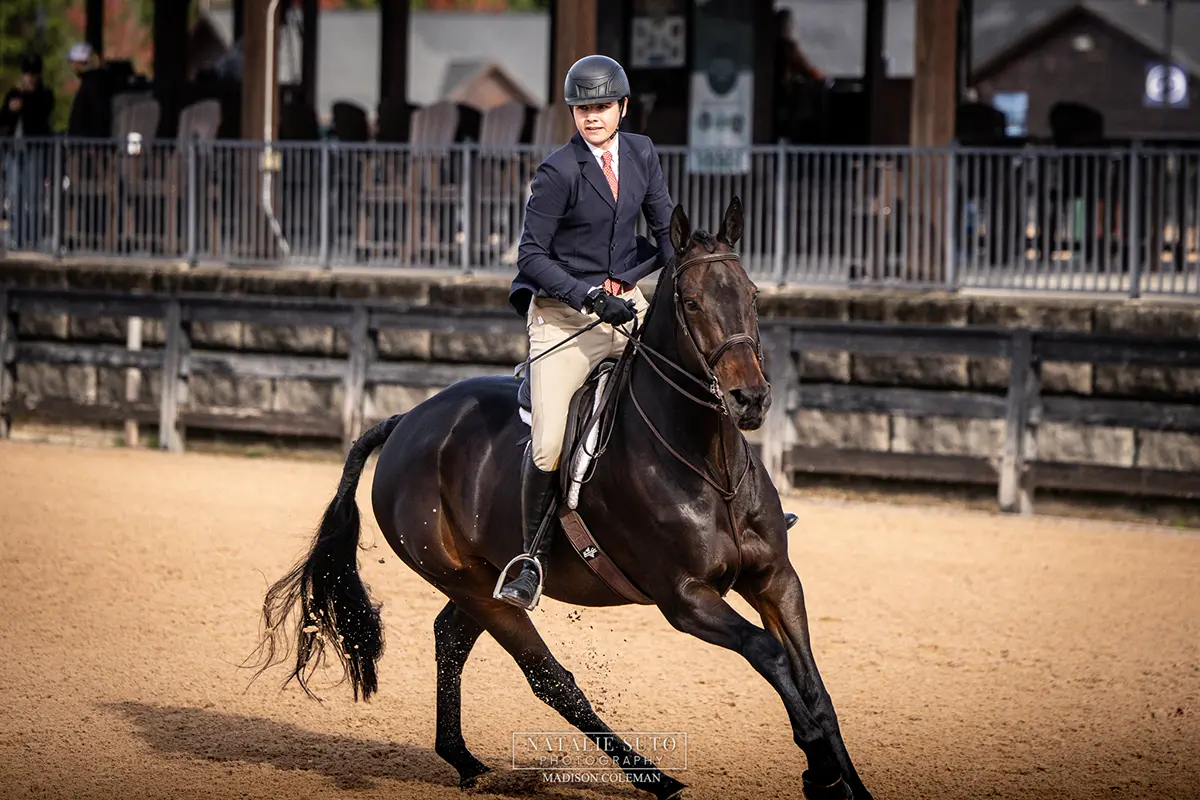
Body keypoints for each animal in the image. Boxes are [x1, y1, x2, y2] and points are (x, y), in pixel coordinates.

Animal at [250, 196, 873, 800]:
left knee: (451, 639)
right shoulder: (685, 598)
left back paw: (465, 762)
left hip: (482, 579)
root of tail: (407, 421)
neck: (706, 461)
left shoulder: (776, 580)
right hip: (470, 583)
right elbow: (770, 657)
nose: (750, 399)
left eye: (752, 295)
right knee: (549, 678)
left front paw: (847, 782)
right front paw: (819, 770)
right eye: (692, 303)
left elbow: (815, 688)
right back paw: (657, 780)